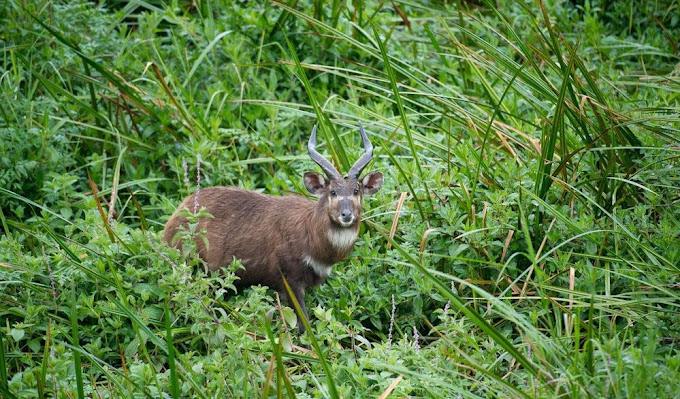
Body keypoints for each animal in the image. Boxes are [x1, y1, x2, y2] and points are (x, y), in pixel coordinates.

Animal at [162, 126, 380, 332]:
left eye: (356, 190)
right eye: (332, 192)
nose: (346, 214)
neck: (313, 241)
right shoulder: (288, 278)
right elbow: (304, 324)